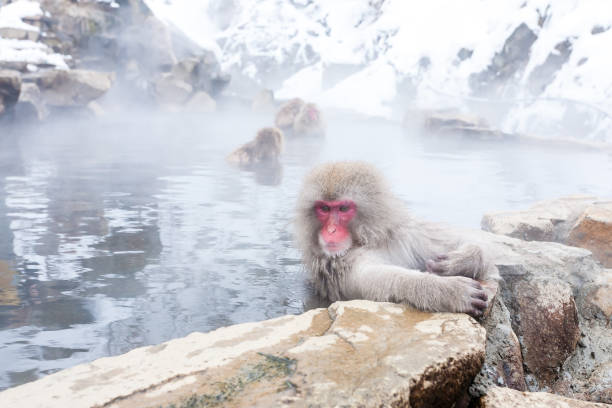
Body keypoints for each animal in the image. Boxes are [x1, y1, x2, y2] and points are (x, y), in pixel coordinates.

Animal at [294, 161, 500, 318]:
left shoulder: (407, 233)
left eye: (343, 208)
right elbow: (377, 281)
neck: (371, 239)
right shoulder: (340, 265)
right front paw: (448, 290)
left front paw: (461, 261)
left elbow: (461, 239)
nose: (331, 230)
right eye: (324, 209)